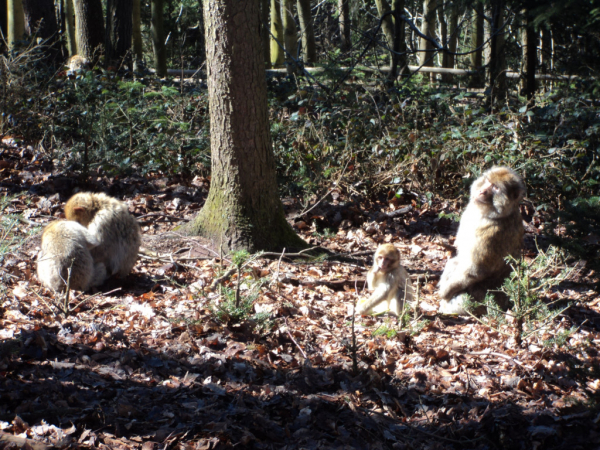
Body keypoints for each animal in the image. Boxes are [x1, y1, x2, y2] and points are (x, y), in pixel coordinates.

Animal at [438, 163, 528, 314]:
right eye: (488, 182)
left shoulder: (492, 236)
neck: (490, 215)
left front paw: (445, 292)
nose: (482, 191)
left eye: (495, 188)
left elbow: (475, 270)